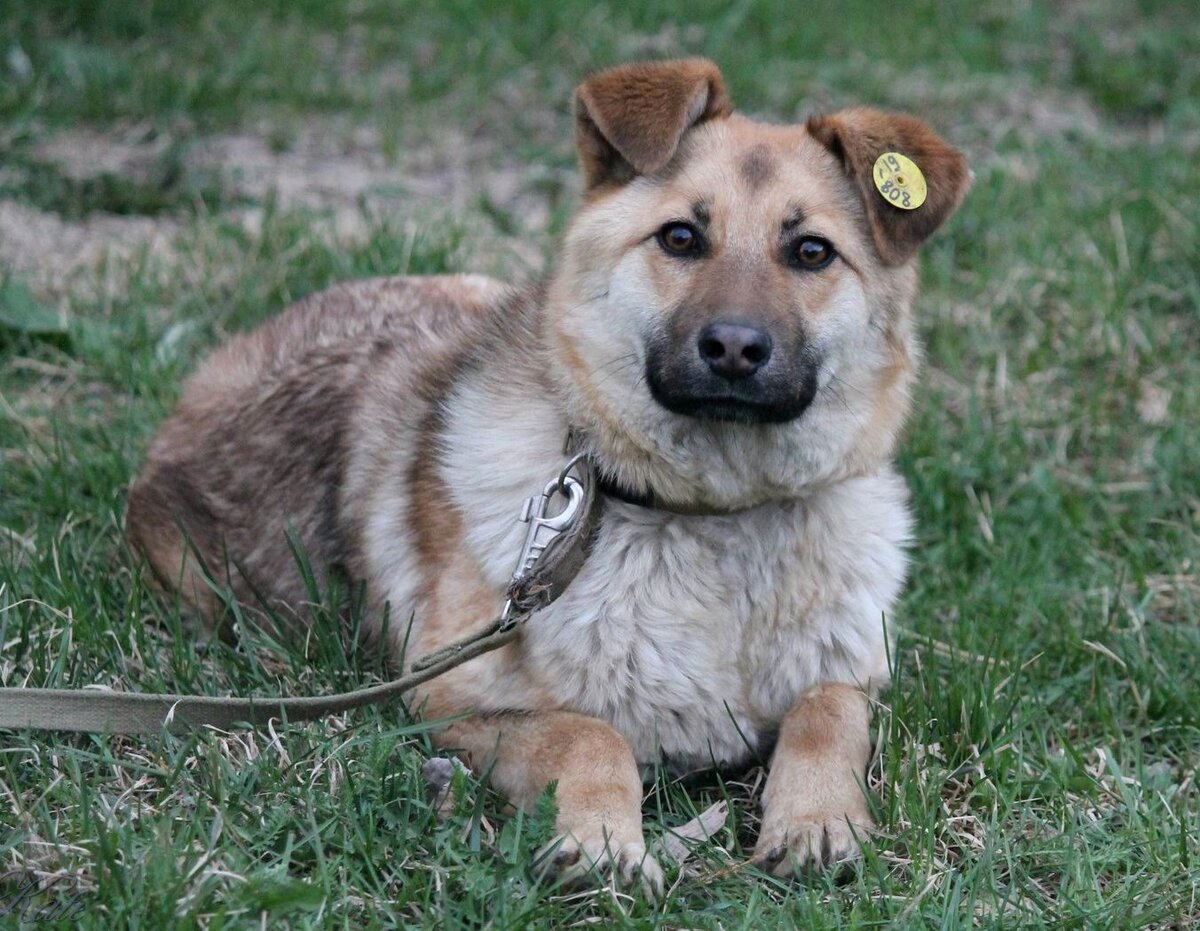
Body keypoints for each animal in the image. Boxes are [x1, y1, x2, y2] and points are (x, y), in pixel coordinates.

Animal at [126, 59, 969, 892]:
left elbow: (828, 710)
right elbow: (588, 733)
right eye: (681, 237)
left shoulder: (852, 678)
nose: (734, 347)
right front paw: (600, 838)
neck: (713, 517)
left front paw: (819, 815)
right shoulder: (446, 695)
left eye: (813, 253)